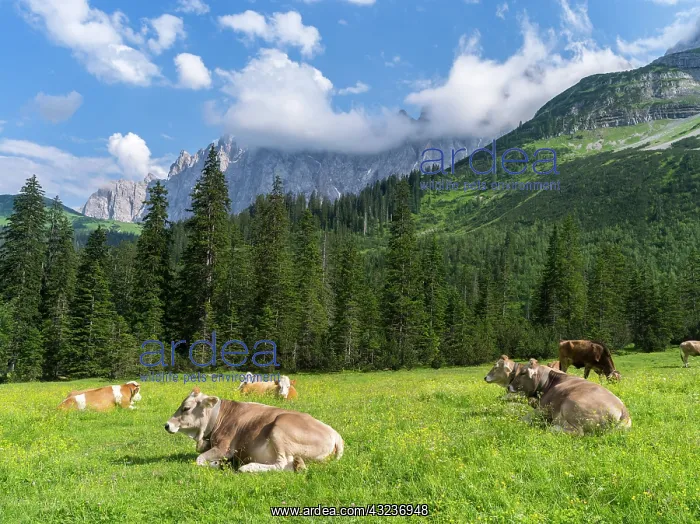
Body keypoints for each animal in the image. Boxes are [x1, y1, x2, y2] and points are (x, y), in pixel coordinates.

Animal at [164, 387, 343, 472]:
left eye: (186, 408)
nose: (167, 425)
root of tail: (335, 434)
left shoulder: (225, 448)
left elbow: (199, 459)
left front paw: (216, 464)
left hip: (279, 427)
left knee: (282, 464)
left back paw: (248, 468)